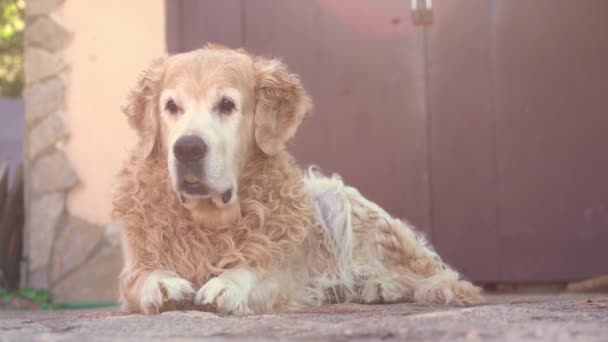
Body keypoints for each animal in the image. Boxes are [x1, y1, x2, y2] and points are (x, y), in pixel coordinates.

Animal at [114, 43, 482, 316]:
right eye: (172, 106)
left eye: (227, 104)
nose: (187, 148)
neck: (210, 221)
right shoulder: (133, 268)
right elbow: (141, 276)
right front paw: (161, 283)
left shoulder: (280, 274)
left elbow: (255, 270)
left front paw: (228, 283)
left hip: (336, 198)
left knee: (430, 276)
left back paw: (380, 287)